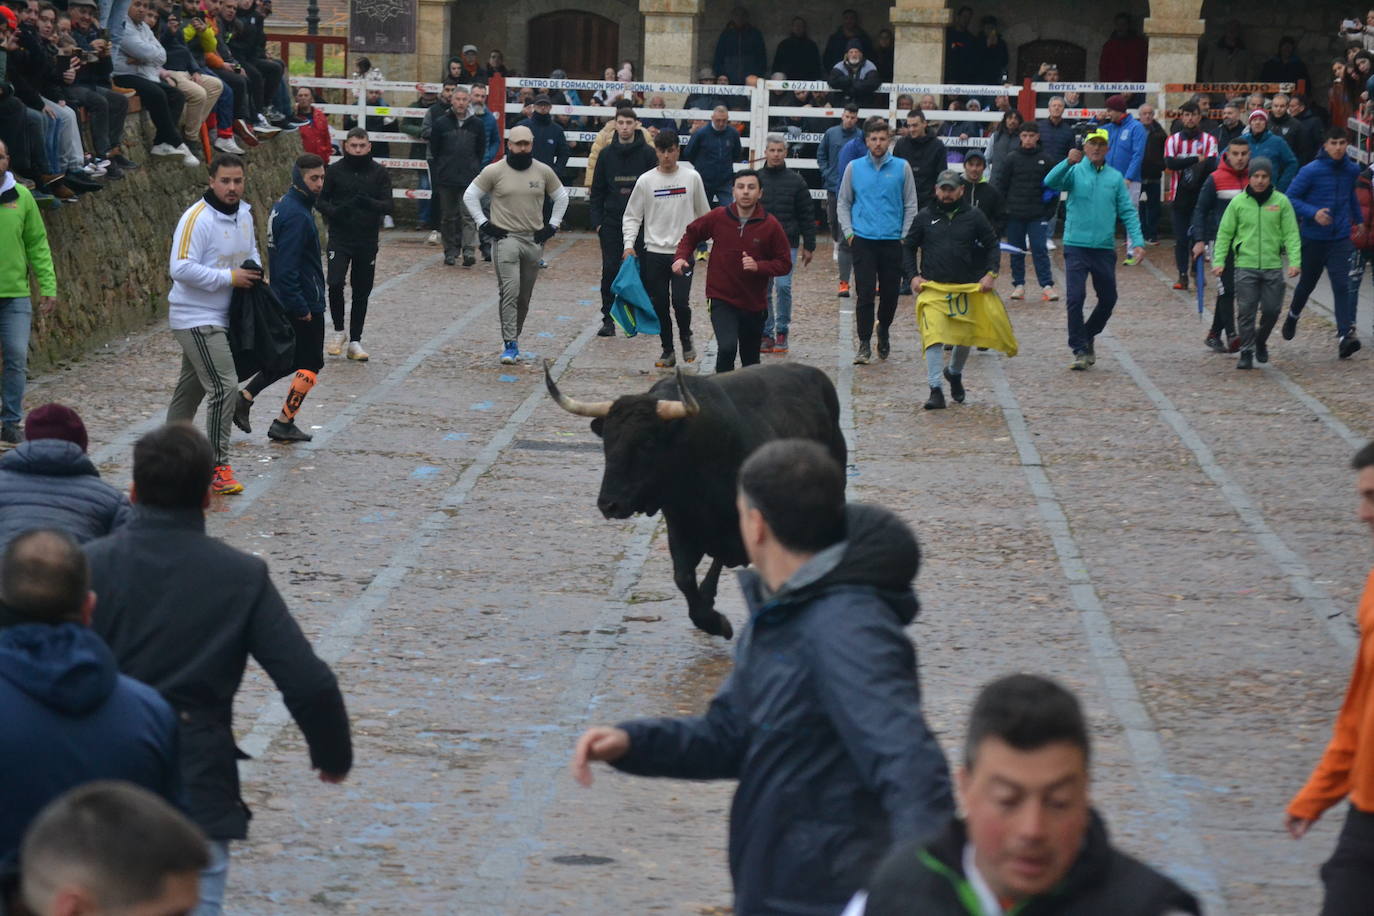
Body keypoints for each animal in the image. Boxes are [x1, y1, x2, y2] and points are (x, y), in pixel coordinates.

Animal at [538, 357, 840, 637]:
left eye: (647, 443)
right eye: (607, 442)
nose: (609, 504)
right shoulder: (680, 527)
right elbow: (684, 577)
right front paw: (714, 620)